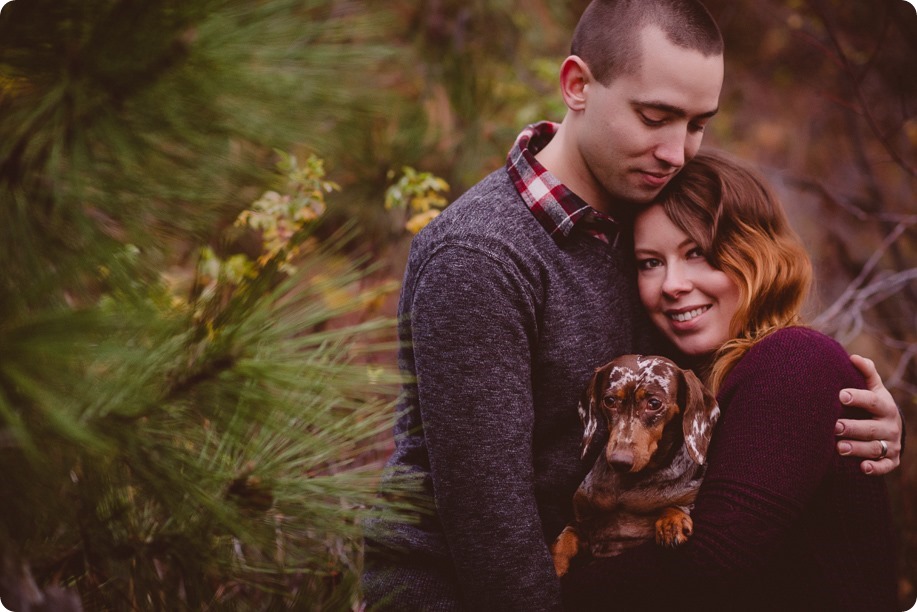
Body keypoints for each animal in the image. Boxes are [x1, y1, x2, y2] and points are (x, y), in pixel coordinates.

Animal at [548, 352, 720, 576]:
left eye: (654, 403)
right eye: (610, 400)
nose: (620, 461)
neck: (628, 487)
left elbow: (677, 504)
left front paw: (671, 521)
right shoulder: (581, 523)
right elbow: (563, 541)